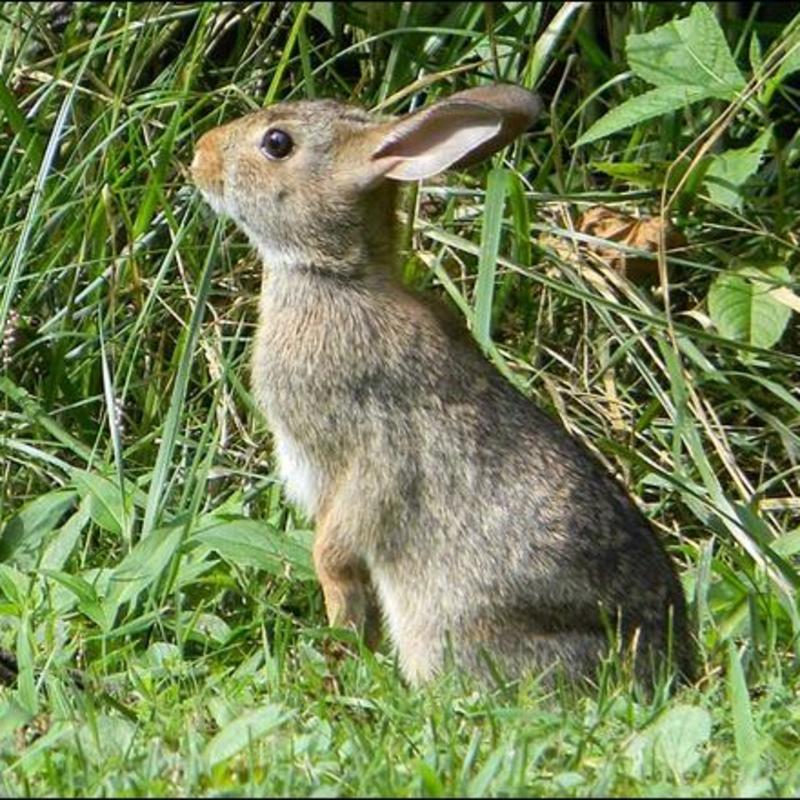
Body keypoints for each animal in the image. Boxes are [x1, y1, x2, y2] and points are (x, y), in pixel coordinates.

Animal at [191, 84, 694, 688]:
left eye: (277, 143)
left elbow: (339, 553)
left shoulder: (368, 452)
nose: (198, 155)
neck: (335, 276)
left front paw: (341, 649)